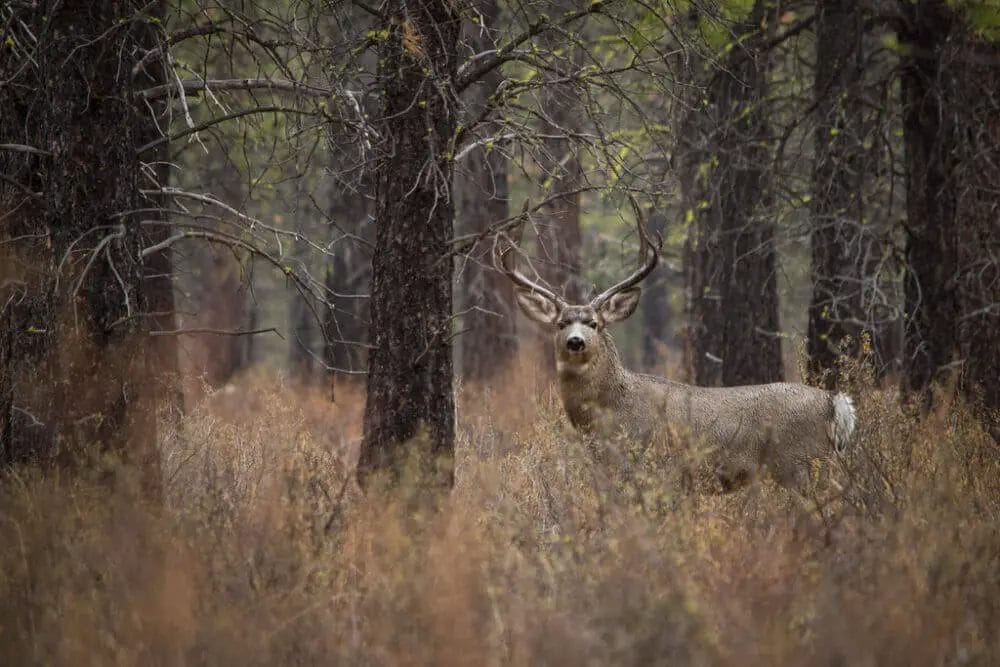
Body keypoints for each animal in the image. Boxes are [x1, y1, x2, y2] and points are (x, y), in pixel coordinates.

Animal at [494, 210, 856, 492]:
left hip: (801, 464)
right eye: (560, 324)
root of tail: (835, 403)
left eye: (594, 323)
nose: (575, 341)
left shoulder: (650, 464)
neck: (609, 412)